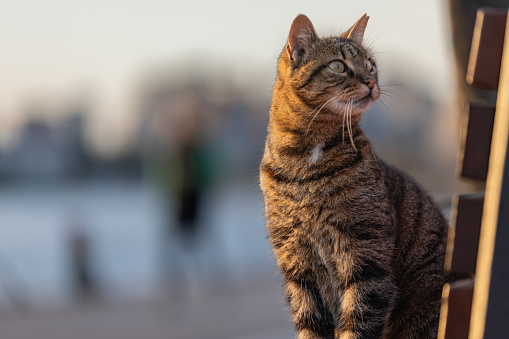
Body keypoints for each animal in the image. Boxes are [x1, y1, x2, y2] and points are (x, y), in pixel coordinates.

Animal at [262, 13, 448, 339]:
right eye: (338, 65)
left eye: (370, 64)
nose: (371, 80)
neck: (305, 162)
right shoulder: (296, 265)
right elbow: (310, 324)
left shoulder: (365, 255)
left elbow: (357, 322)